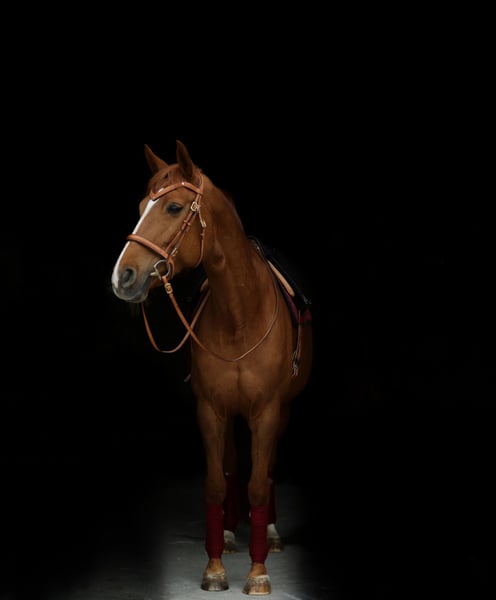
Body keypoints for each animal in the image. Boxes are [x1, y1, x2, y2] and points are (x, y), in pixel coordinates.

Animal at [111, 140, 312, 595]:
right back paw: (232, 534)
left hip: (281, 413)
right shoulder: (211, 412)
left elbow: (259, 486)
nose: (122, 276)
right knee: (234, 464)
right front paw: (216, 566)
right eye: (140, 206)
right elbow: (216, 483)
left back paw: (269, 535)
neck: (240, 316)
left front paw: (258, 574)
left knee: (267, 470)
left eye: (173, 207)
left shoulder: (267, 412)